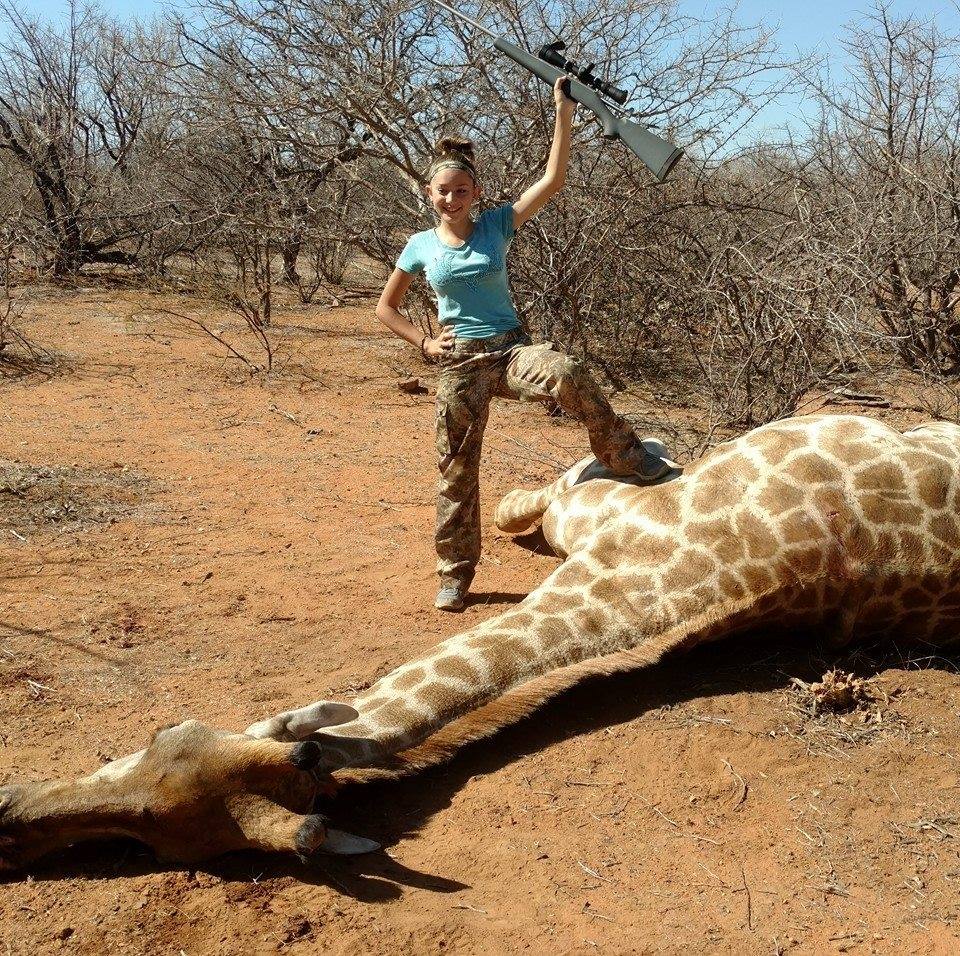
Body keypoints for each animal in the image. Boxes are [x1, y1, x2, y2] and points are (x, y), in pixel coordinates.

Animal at [1, 414, 960, 872]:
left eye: (161, 740)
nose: (7, 828)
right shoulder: (607, 524)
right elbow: (539, 493)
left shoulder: (622, 521)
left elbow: (558, 482)